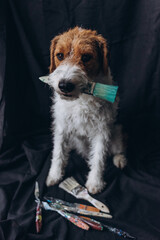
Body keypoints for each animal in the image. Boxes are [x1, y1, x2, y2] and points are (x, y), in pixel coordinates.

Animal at [45, 27, 126, 194]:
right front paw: (54, 175)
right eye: (60, 55)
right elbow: (58, 153)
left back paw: (120, 159)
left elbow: (99, 158)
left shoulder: (102, 131)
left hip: (117, 132)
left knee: (118, 148)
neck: (80, 99)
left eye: (87, 57)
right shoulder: (62, 127)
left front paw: (95, 183)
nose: (64, 85)